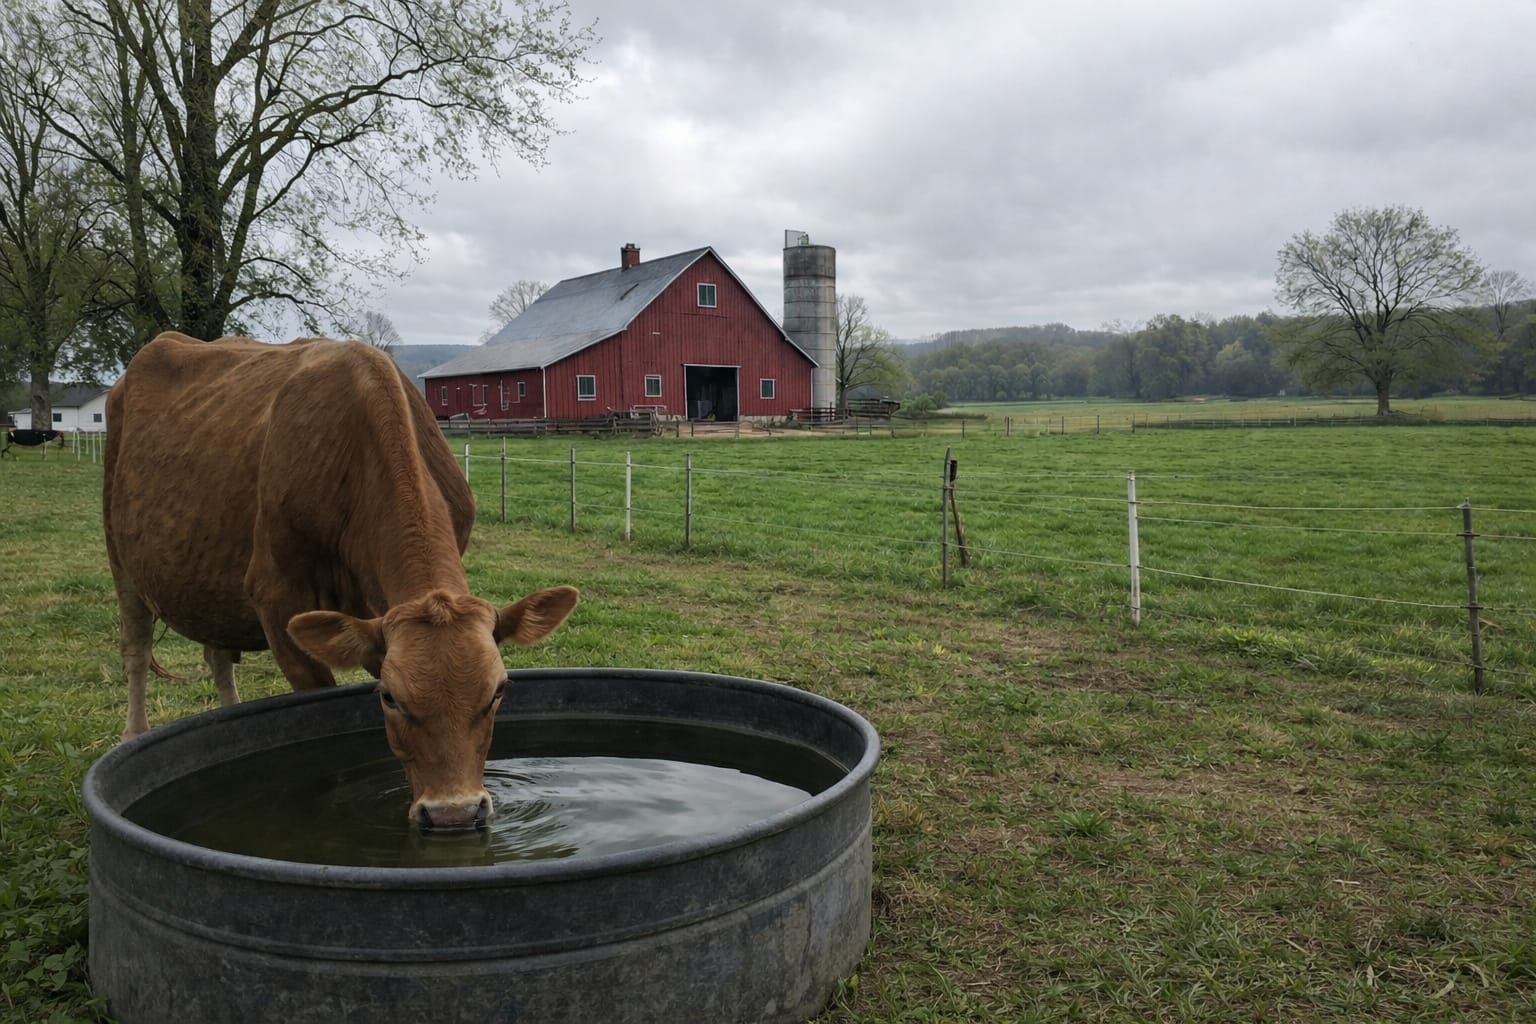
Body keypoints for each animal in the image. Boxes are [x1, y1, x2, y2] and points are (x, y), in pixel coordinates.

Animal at [103, 332, 578, 829]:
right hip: (120, 552)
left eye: (498, 691)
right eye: (390, 698)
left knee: (217, 654)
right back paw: (133, 731)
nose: (454, 813)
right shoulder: (277, 596)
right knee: (136, 649)